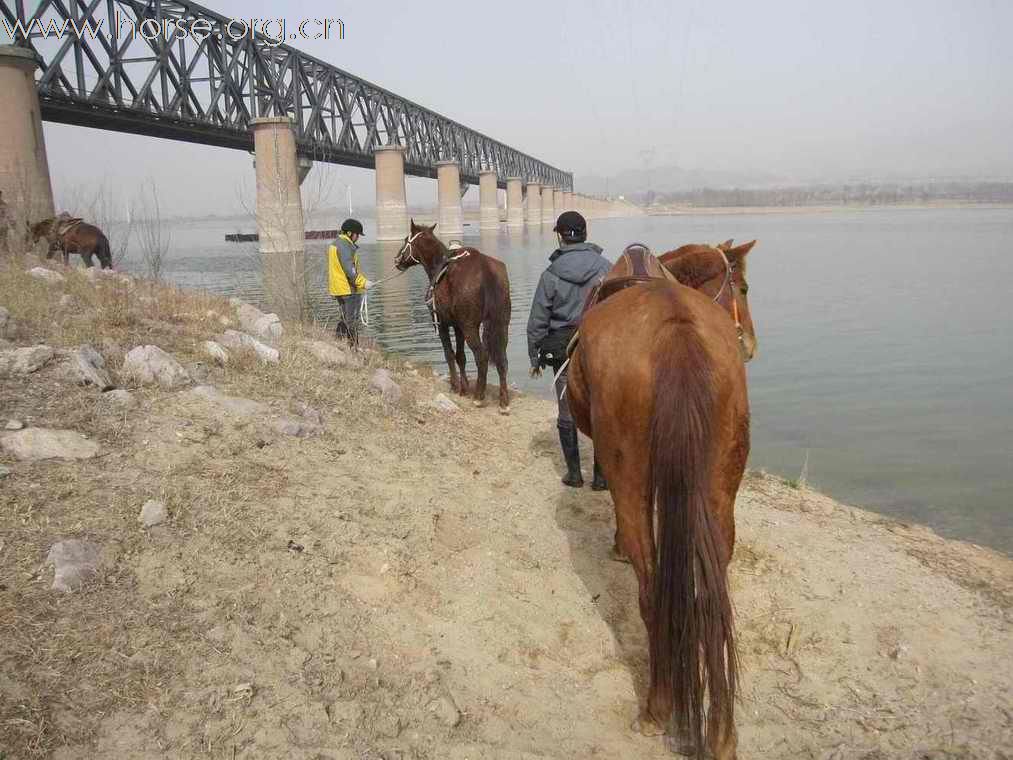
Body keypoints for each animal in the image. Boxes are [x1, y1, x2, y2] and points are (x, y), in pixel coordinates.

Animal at [391, 216, 510, 413]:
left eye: (405, 240)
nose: (397, 260)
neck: (438, 266)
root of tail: (486, 269)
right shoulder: (458, 326)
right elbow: (460, 356)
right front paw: (464, 387)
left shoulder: (442, 324)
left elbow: (449, 353)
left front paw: (456, 386)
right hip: (501, 324)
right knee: (502, 359)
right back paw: (504, 401)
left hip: (471, 327)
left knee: (482, 356)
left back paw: (479, 396)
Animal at [567, 241, 757, 757]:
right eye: (743, 287)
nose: (751, 344)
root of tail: (675, 332)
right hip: (719, 487)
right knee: (710, 593)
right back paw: (721, 731)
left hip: (634, 477)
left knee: (652, 590)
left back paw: (657, 707)